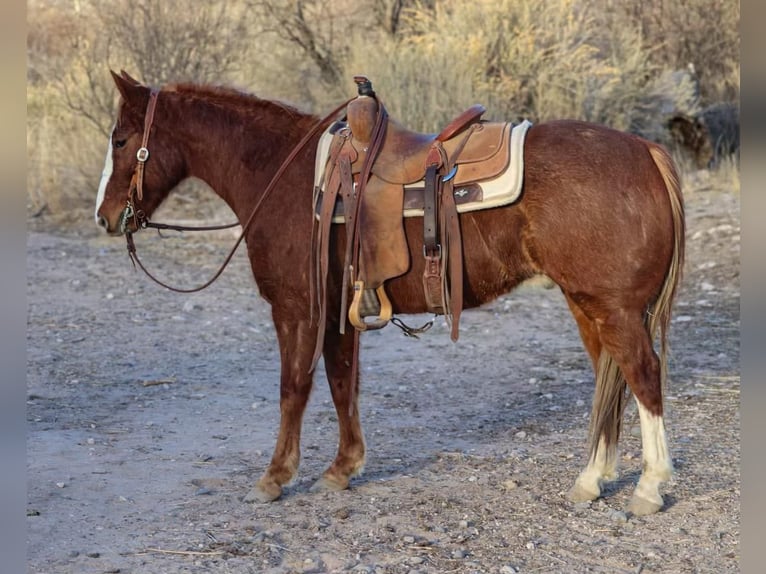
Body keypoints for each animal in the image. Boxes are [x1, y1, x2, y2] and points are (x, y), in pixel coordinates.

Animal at [95, 70, 684, 516]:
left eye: (120, 140)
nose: (105, 216)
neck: (284, 176)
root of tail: (647, 151)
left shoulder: (297, 310)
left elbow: (294, 389)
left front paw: (275, 477)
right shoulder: (338, 310)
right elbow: (342, 385)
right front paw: (343, 467)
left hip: (616, 309)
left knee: (643, 376)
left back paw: (649, 487)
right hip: (587, 305)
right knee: (611, 378)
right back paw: (591, 480)